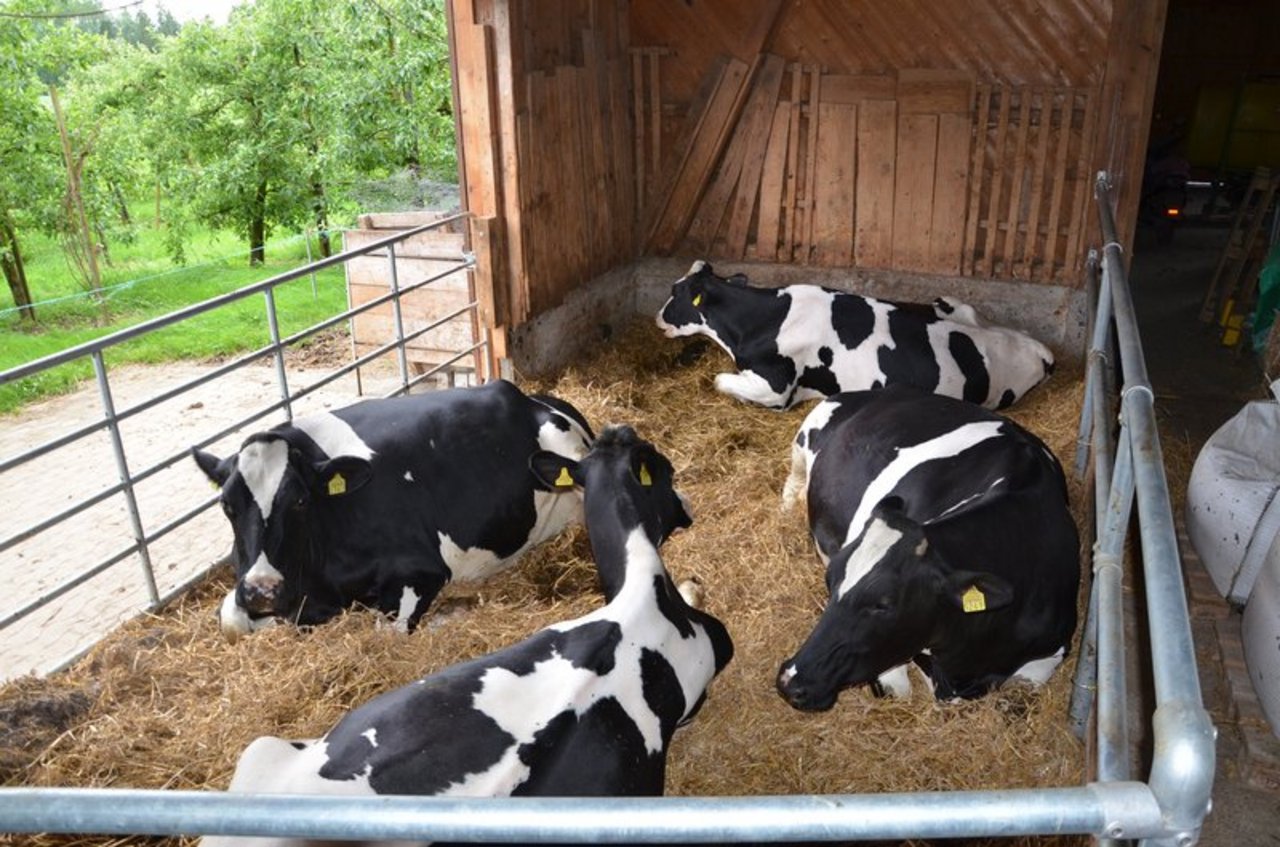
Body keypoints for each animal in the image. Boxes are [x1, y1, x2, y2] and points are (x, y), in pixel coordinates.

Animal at [192, 379, 594, 640]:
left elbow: (386, 633)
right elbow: (230, 619)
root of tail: (528, 397)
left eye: (300, 502)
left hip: (571, 454)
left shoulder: (422, 571)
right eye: (227, 505)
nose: (263, 591)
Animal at [655, 260, 1054, 411]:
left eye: (675, 292)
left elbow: (719, 380)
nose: (658, 317)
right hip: (957, 307)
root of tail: (1040, 349)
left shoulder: (775, 386)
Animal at [775, 387, 1079, 709]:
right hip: (804, 439)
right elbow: (897, 689)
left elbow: (1020, 692)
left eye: (884, 604)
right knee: (794, 478)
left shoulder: (1053, 649)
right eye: (829, 581)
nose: (789, 679)